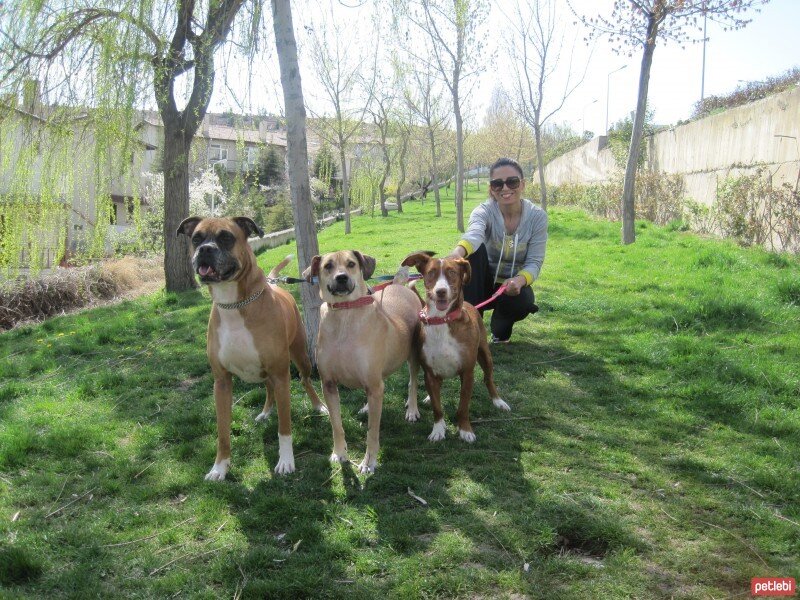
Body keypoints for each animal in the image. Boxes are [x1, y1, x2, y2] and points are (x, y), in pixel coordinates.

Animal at [177, 216, 324, 482]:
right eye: (196, 238)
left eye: (226, 237)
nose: (205, 250)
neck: (234, 304)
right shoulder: (221, 383)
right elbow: (223, 432)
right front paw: (220, 467)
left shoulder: (281, 375)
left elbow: (284, 427)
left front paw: (286, 462)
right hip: (261, 372)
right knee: (268, 389)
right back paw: (265, 412)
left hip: (300, 358)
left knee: (306, 380)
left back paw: (319, 406)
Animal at [304, 250, 422, 474]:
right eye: (328, 266)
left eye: (351, 264)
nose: (342, 278)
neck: (344, 314)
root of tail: (398, 285)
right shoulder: (329, 384)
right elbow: (336, 425)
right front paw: (339, 453)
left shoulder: (374, 384)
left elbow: (372, 431)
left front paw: (369, 462)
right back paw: (368, 407)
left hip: (413, 355)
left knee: (412, 382)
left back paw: (412, 410)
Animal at [400, 251, 512, 442]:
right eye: (431, 273)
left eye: (452, 272)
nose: (441, 291)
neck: (442, 320)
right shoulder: (430, 373)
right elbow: (437, 408)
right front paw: (438, 430)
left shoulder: (467, 373)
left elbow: (463, 407)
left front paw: (465, 430)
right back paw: (429, 397)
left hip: (485, 354)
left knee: (488, 378)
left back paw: (498, 401)